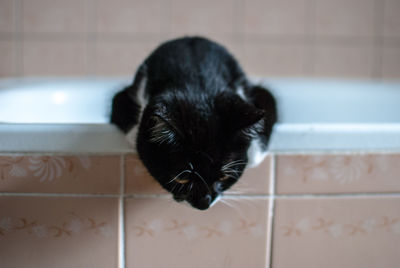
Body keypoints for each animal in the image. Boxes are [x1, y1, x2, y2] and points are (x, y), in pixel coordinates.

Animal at [111, 36, 276, 210]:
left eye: (224, 177)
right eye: (182, 178)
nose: (205, 203)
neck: (197, 86)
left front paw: (254, 152)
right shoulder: (126, 95)